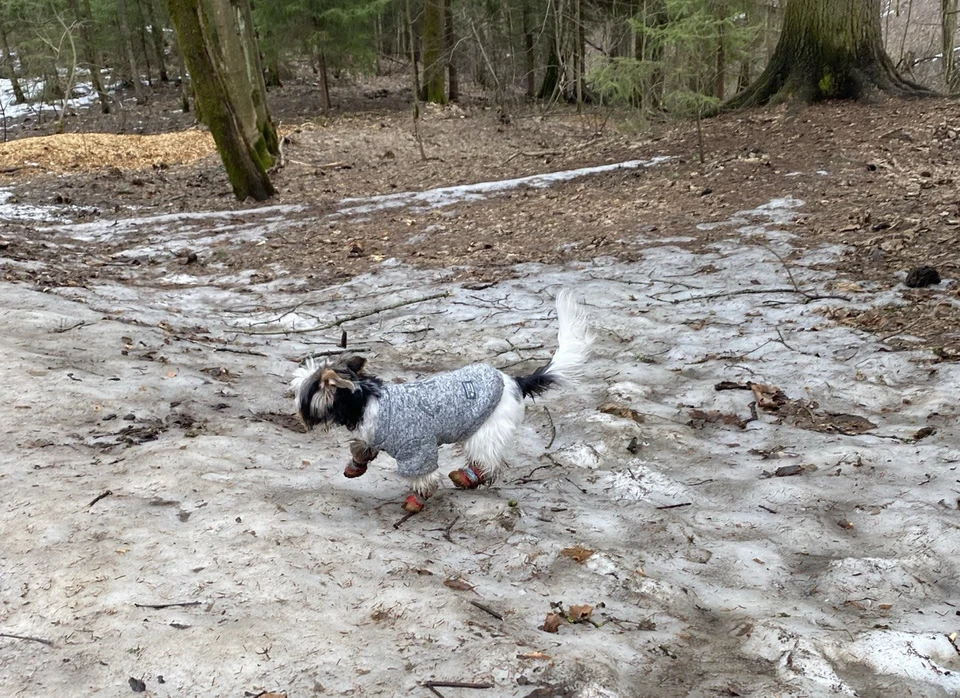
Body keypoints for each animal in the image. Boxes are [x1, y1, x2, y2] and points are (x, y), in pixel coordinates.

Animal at [290, 288, 592, 512]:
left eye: (300, 390)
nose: (295, 408)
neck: (365, 400)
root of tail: (514, 381)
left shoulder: (417, 449)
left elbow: (424, 476)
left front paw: (416, 499)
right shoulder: (372, 434)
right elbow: (362, 448)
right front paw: (356, 465)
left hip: (489, 428)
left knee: (487, 462)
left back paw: (467, 477)